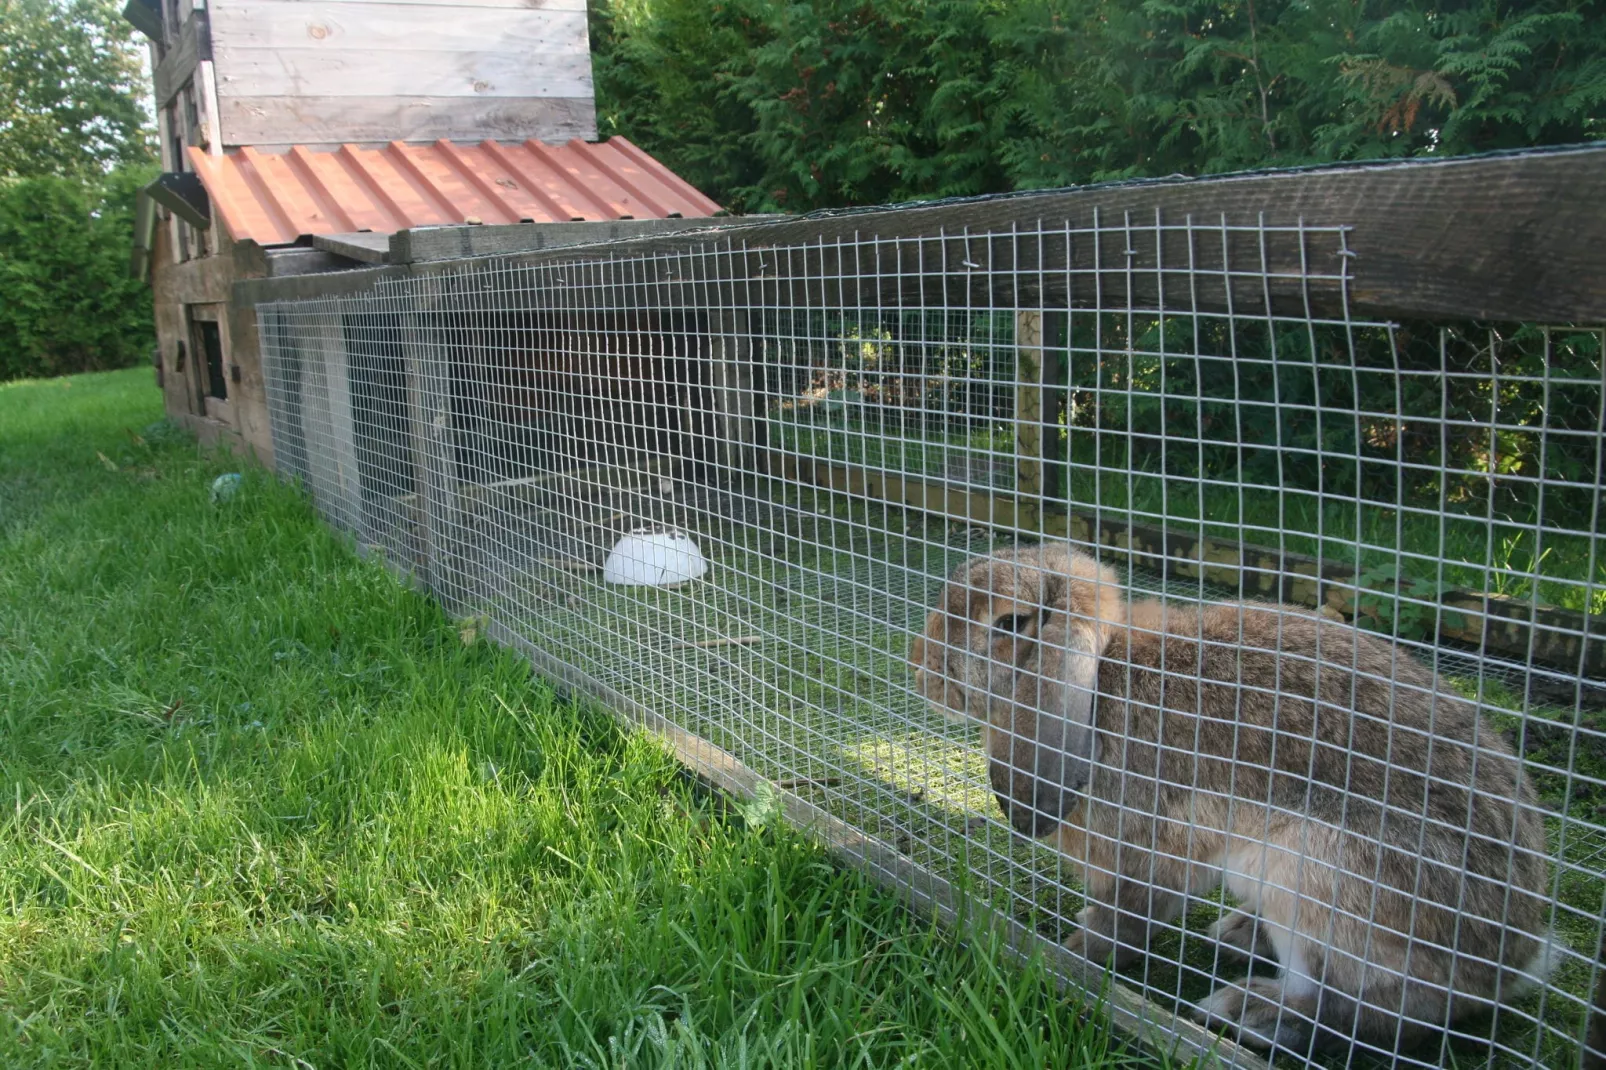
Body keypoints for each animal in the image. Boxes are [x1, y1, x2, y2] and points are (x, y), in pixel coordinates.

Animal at [912, 543, 1548, 1047]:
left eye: (1010, 623)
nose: (922, 671)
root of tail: (1513, 960)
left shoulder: (1151, 854)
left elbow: (1130, 919)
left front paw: (1074, 951)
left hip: (1315, 876)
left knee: (1371, 1010)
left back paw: (1250, 1011)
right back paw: (1239, 935)